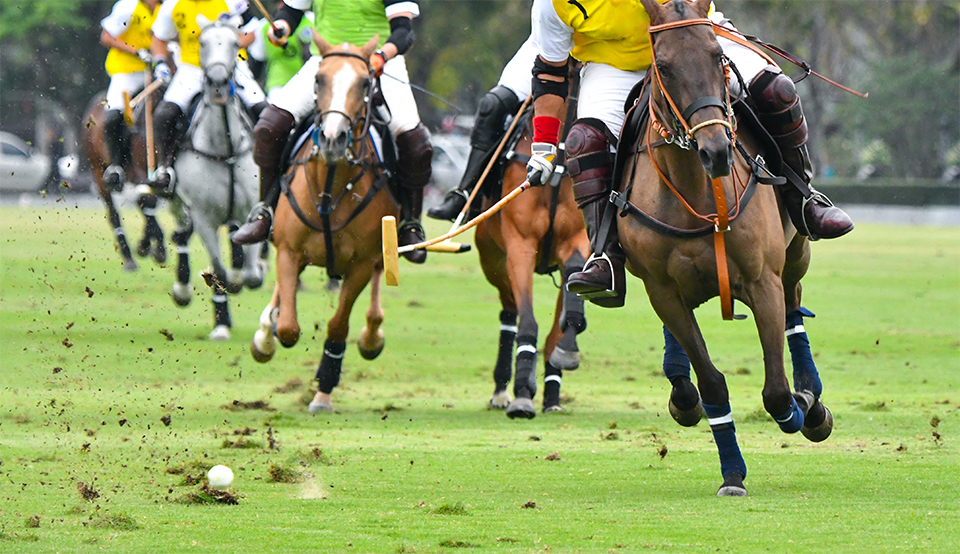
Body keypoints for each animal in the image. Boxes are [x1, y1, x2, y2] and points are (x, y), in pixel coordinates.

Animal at [82, 89, 167, 272]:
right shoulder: (138, 170)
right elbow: (147, 200)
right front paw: (152, 248)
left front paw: (151, 246)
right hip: (98, 171)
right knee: (113, 214)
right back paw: (128, 258)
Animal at [168, 15, 264, 338]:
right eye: (202, 42)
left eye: (235, 43)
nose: (219, 83)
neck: (225, 148)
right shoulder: (203, 217)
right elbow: (218, 271)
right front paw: (221, 322)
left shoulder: (252, 209)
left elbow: (250, 274)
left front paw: (250, 272)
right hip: (175, 199)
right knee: (181, 233)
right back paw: (183, 290)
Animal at [251, 35, 398, 414]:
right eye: (319, 79)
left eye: (365, 83)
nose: (333, 138)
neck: (330, 187)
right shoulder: (288, 251)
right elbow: (288, 326)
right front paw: (269, 335)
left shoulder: (360, 264)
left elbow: (337, 325)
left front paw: (323, 391)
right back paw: (264, 332)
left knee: (379, 282)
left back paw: (372, 336)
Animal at [474, 97, 588, 416]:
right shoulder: (520, 246)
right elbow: (527, 321)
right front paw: (523, 392)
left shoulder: (579, 240)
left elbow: (561, 325)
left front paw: (553, 384)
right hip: (494, 261)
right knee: (509, 312)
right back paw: (503, 391)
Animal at [616, 0, 832, 494]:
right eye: (664, 67)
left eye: (718, 56)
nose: (716, 151)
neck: (699, 191)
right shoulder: (663, 291)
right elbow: (712, 382)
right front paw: (732, 472)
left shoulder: (762, 280)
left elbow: (776, 391)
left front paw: (801, 410)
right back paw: (683, 393)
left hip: (796, 254)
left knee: (794, 308)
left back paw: (810, 400)